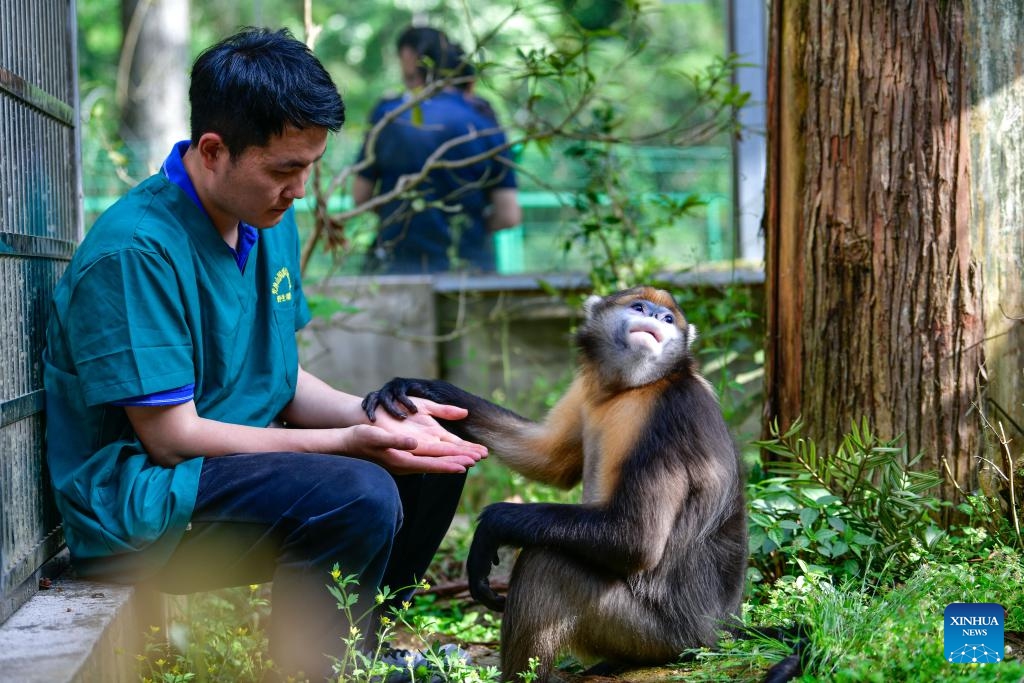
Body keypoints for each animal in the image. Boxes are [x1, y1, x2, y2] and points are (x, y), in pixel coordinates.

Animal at [363, 286, 798, 682]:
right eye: (639, 307)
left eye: (668, 318)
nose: (655, 319)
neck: (633, 389)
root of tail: (722, 629)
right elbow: (547, 459)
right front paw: (425, 389)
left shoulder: (672, 411)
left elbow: (636, 539)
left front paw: (491, 527)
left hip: (659, 635)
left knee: (546, 562)